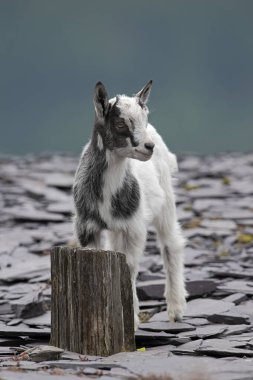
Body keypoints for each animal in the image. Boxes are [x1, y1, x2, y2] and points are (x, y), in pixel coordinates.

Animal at [72, 80, 187, 326]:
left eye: (144, 117)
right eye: (120, 122)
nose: (148, 147)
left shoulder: (134, 228)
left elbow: (130, 268)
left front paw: (131, 318)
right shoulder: (87, 227)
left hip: (166, 200)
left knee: (171, 244)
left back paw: (176, 309)